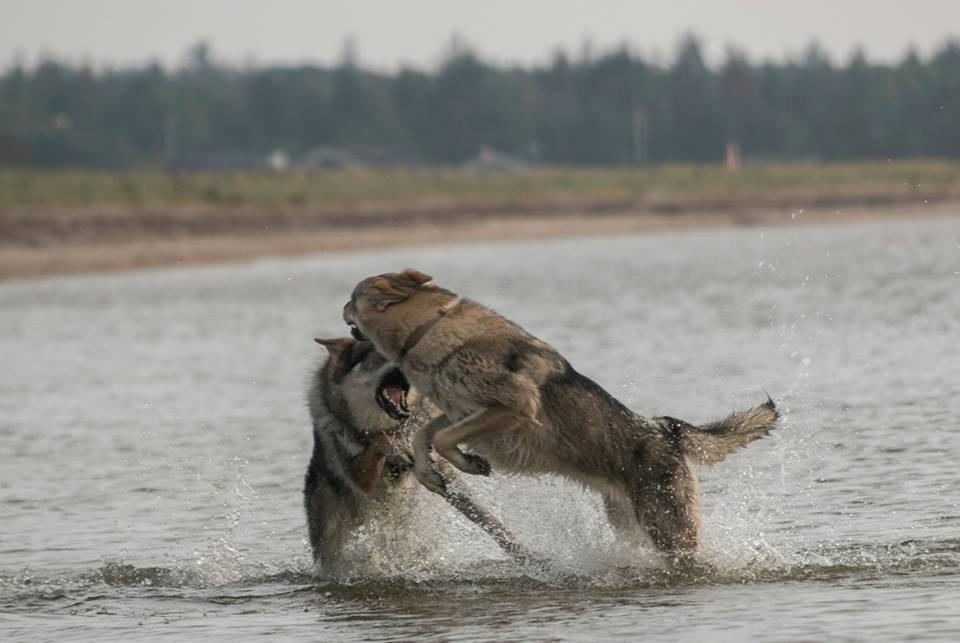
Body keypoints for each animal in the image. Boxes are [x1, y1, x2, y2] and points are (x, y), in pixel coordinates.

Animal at [344, 270, 780, 560]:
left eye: (351, 297)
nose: (340, 308)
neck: (427, 332)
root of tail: (665, 429)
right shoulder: (460, 410)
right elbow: (426, 436)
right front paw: (433, 475)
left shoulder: (514, 408)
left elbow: (439, 437)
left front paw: (469, 465)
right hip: (630, 524)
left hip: (666, 529)